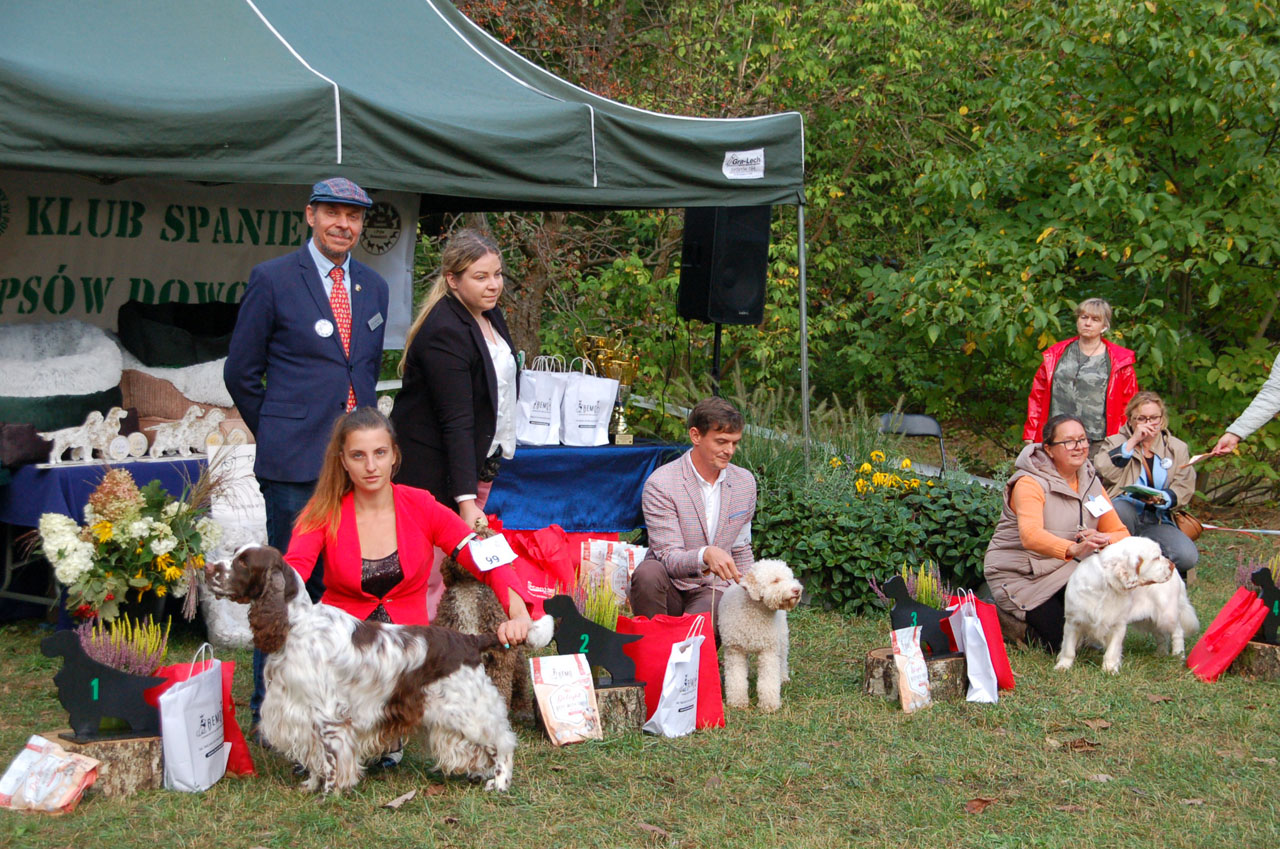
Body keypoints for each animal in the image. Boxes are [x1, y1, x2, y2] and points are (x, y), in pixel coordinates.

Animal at [205, 545, 519, 795]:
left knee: (502, 742)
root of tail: (470, 640)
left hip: (468, 711)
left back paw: (500, 783)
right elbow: (316, 757)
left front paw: (329, 793)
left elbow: (331, 759)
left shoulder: (328, 714)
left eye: (244, 562)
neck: (297, 624)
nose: (207, 568)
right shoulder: (303, 713)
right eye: (235, 553)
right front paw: (311, 785)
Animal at [718, 559, 802, 712]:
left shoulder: (768, 651)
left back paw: (783, 677)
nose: (797, 590)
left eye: (790, 577)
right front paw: (737, 701)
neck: (755, 611)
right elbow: (736, 678)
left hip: (782, 638)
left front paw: (769, 705)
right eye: (775, 580)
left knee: (782, 659)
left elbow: (768, 679)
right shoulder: (735, 651)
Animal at [1055, 536, 1199, 674]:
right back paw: (1160, 654)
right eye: (1156, 557)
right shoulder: (1073, 622)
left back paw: (1178, 656)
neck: (1107, 587)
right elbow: (1068, 649)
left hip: (1166, 615)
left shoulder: (1118, 625)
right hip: (1148, 620)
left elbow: (1112, 651)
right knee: (1161, 635)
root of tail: (1178, 576)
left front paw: (1110, 669)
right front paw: (1063, 666)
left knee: (1177, 632)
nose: (1172, 565)